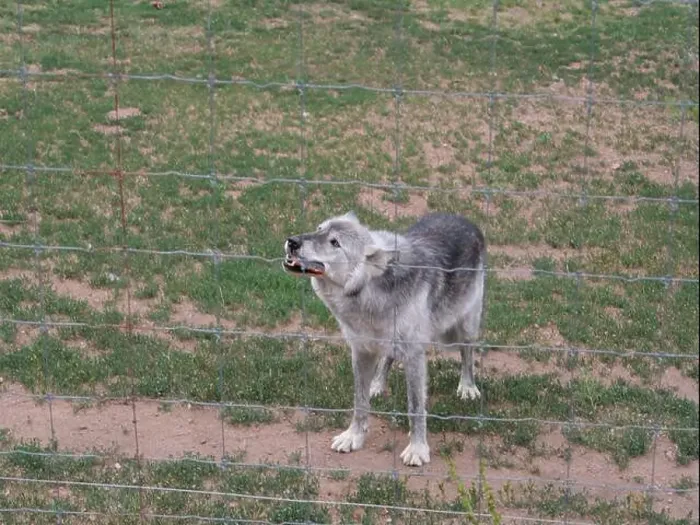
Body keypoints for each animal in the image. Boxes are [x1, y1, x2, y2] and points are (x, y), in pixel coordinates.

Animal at [283, 211, 486, 467]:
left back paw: (468, 388)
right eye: (319, 229)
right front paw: (353, 437)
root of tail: (462, 218)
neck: (370, 293)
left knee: (467, 354)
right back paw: (378, 385)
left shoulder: (414, 357)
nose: (292, 241)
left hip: (465, 327)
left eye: (335, 242)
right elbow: (359, 402)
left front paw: (418, 450)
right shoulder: (360, 350)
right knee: (387, 359)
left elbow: (415, 408)